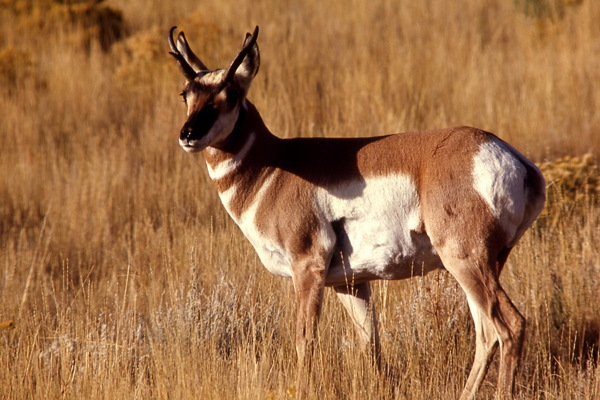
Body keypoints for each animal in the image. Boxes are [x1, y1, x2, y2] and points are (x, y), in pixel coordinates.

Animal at [168, 26, 544, 398]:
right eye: (186, 94)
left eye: (229, 95)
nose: (187, 135)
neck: (274, 165)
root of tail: (511, 157)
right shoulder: (350, 284)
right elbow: (371, 345)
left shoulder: (308, 267)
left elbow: (305, 341)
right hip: (483, 265)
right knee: (486, 333)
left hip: (466, 261)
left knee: (509, 326)